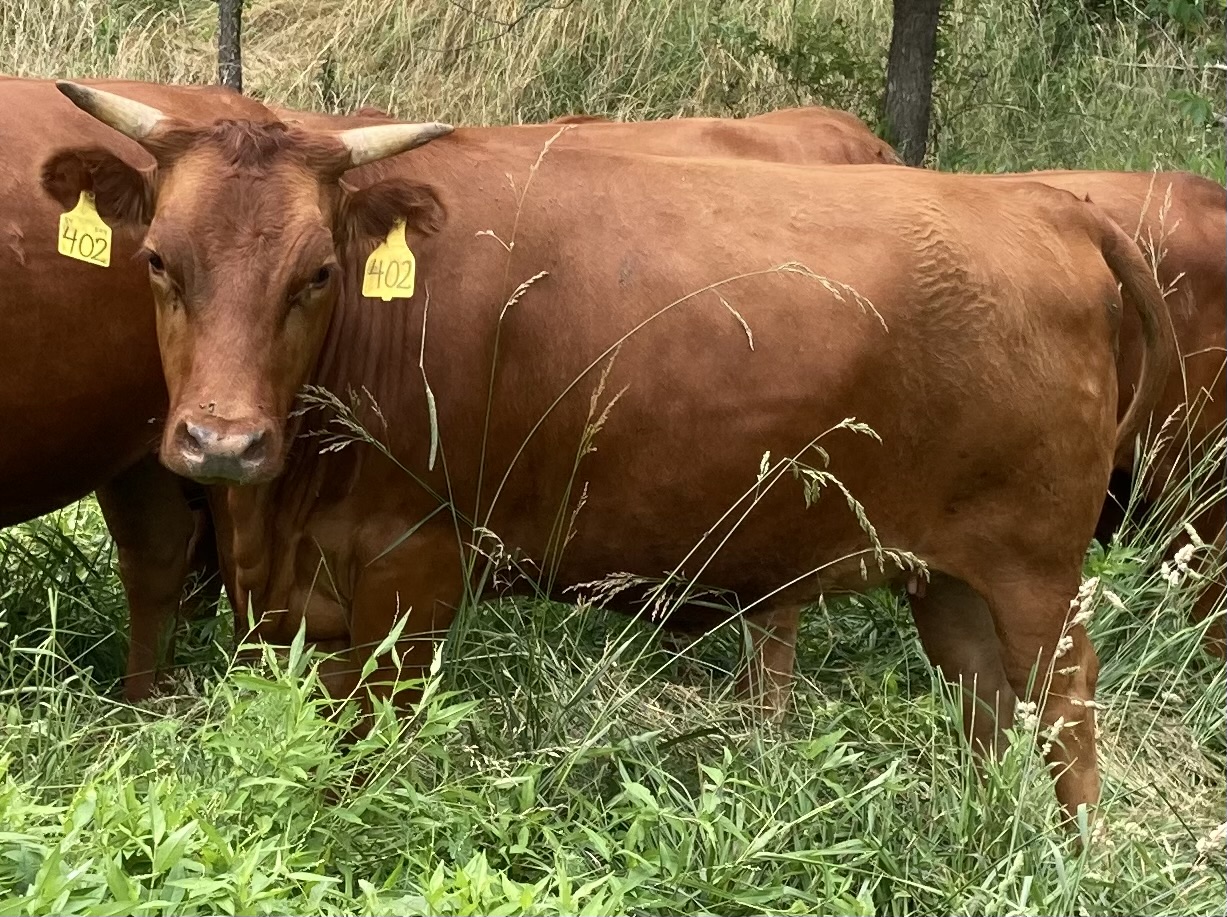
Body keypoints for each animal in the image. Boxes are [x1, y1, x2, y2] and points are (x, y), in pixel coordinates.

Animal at [45, 83, 1174, 825]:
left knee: (1066, 713)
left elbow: (377, 745)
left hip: (1035, 573)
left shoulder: (414, 567)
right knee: (989, 707)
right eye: (159, 261)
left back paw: (1070, 853)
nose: (223, 441)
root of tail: (1042, 202)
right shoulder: (296, 599)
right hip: (949, 577)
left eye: (317, 271)